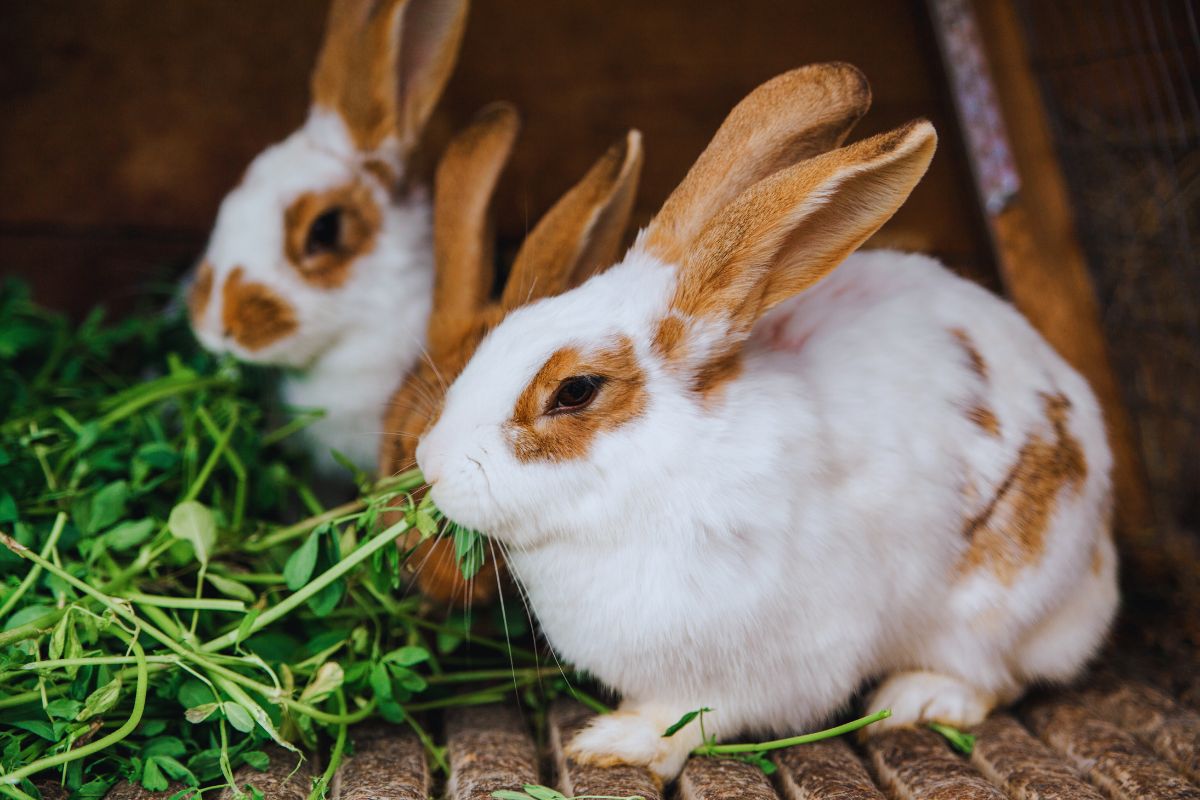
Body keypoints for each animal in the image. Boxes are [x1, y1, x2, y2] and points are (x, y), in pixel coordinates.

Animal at [412, 64, 1113, 782]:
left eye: (574, 391)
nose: (429, 463)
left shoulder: (772, 660)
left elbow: (694, 715)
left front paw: (617, 742)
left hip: (996, 601)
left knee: (996, 675)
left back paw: (920, 698)